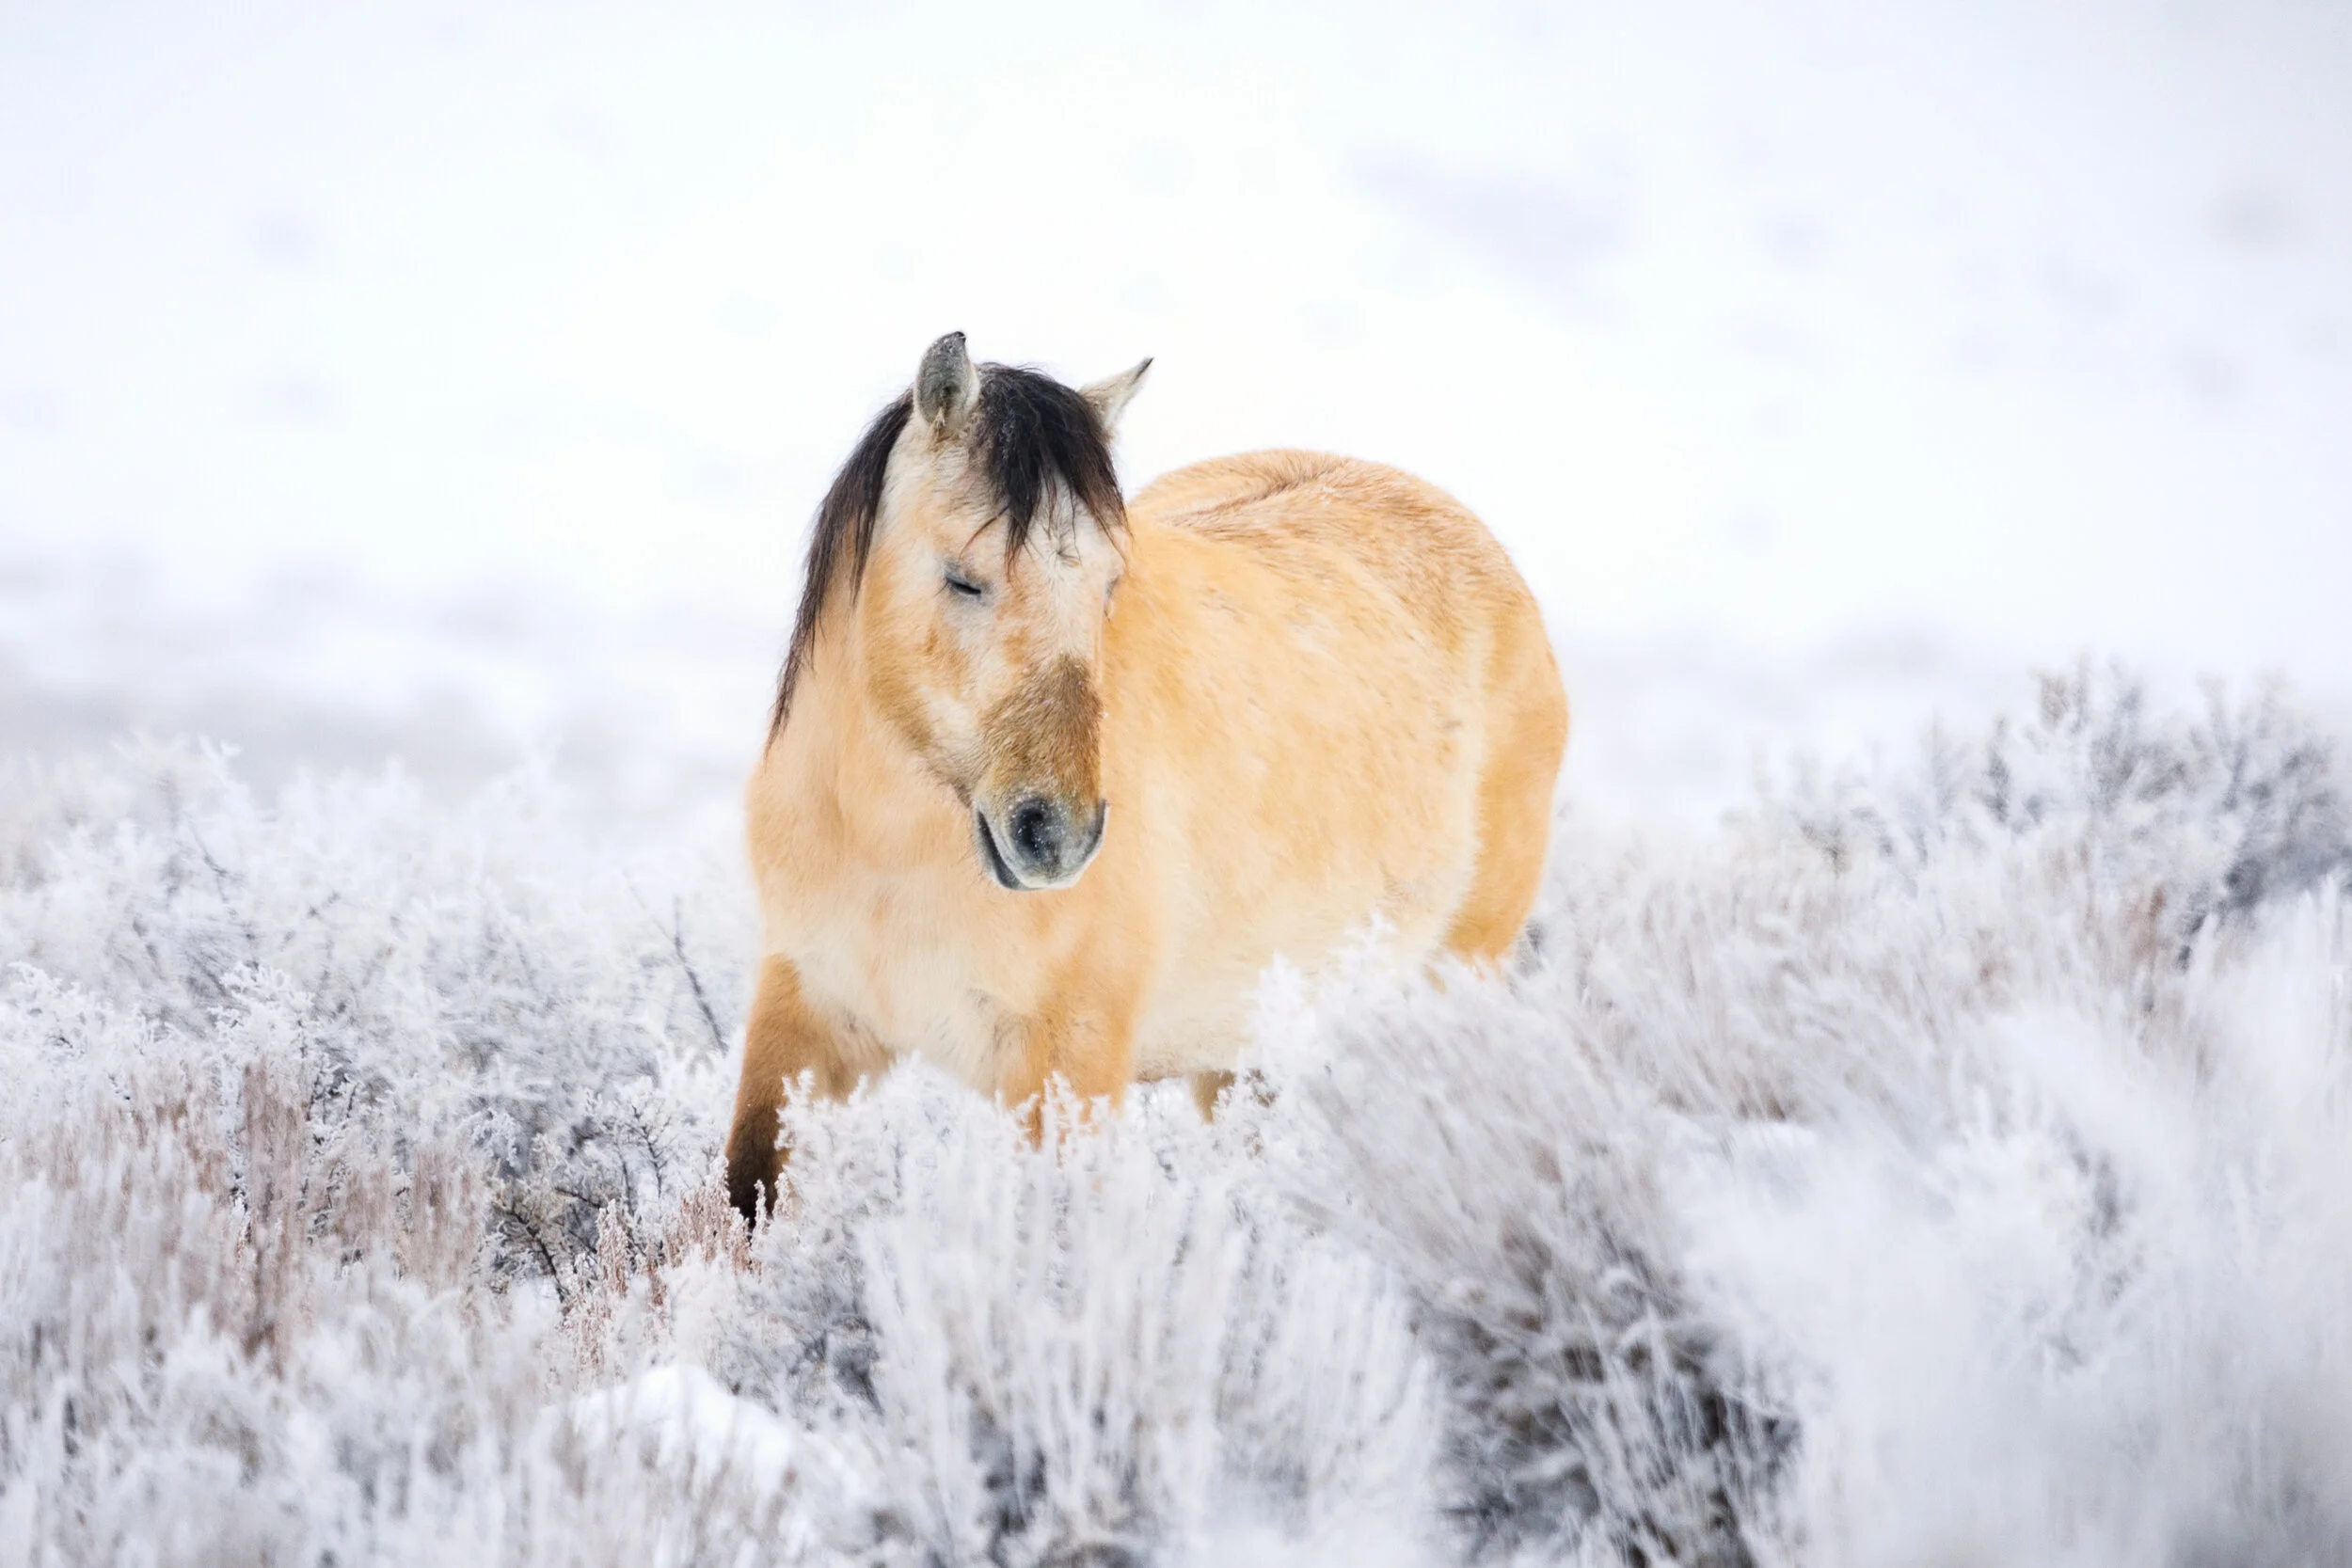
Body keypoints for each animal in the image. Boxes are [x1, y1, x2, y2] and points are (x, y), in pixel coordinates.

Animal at [725, 333, 1568, 1222]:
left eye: (1108, 585)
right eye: (962, 576)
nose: (1057, 834)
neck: (888, 852)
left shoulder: (1068, 1067)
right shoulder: (808, 1007)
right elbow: (747, 1186)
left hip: (1451, 978)